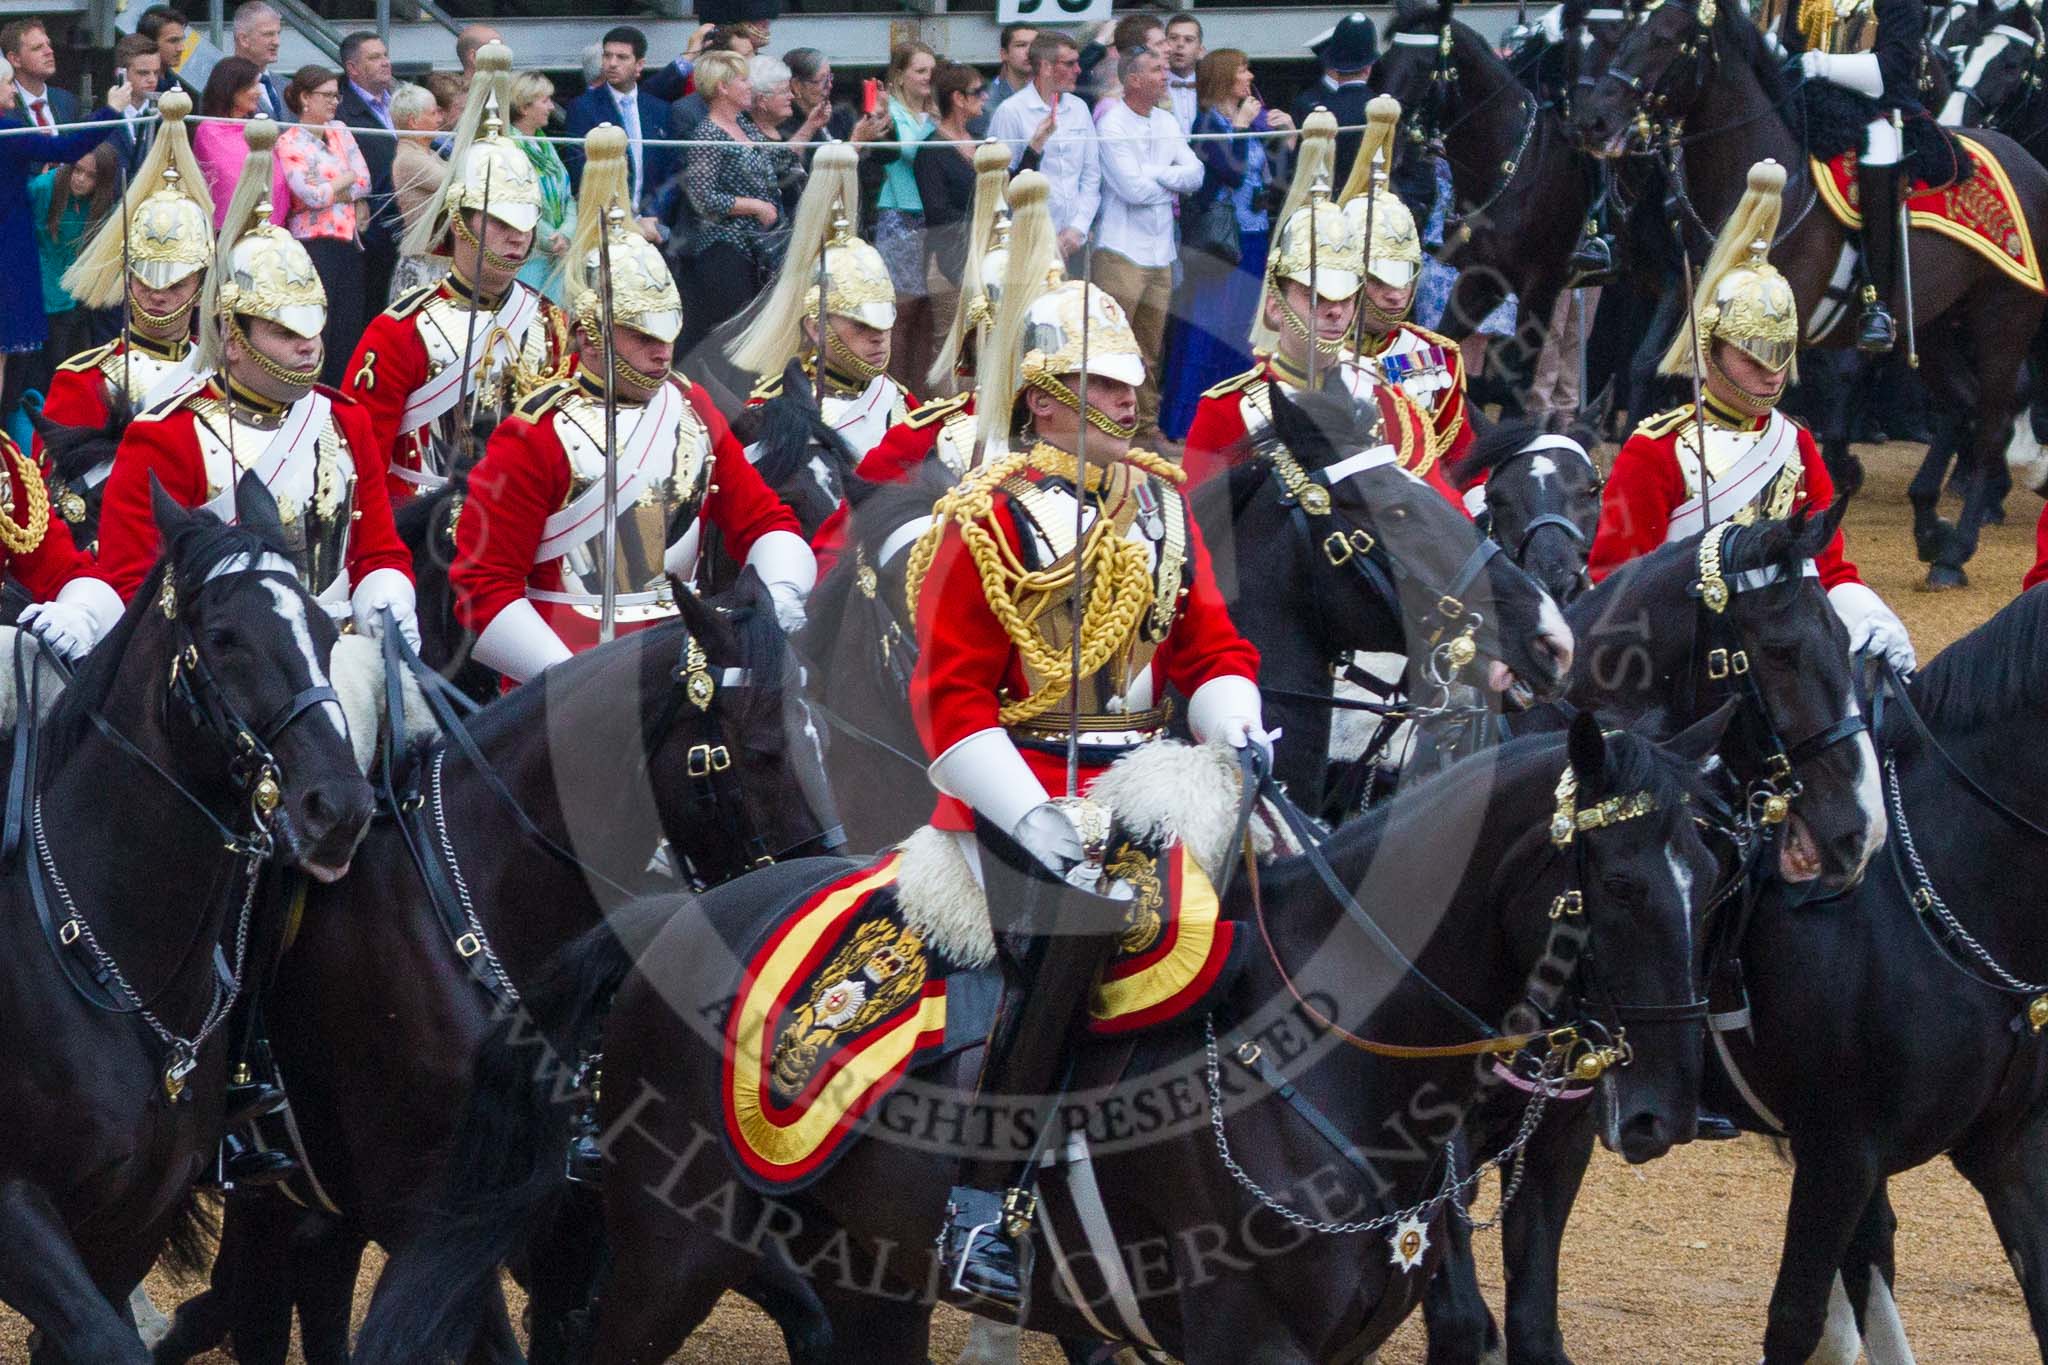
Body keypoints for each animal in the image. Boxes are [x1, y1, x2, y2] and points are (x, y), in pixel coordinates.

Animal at [356, 703, 1728, 1365]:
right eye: (1613, 884)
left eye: (1708, 874)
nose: (1665, 1109)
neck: (1329, 1068)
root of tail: (656, 918)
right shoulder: (1247, 1347)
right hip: (673, 1251)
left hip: (858, 1271)